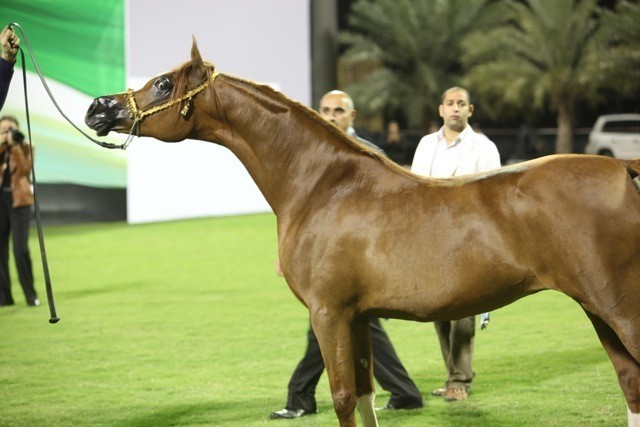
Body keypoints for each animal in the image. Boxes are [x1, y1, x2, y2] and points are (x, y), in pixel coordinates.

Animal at [85, 39, 640, 427]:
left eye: (163, 84)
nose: (98, 107)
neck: (323, 186)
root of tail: (624, 168)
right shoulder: (358, 318)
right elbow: (368, 398)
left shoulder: (328, 314)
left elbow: (343, 398)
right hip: (597, 312)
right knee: (630, 382)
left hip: (619, 309)